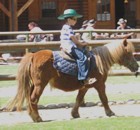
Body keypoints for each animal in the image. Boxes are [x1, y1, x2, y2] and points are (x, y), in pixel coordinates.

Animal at [5, 38, 139, 122]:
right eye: (128, 53)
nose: (136, 66)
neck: (98, 62)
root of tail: (33, 55)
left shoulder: (85, 86)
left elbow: (79, 99)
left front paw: (74, 114)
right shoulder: (100, 84)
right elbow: (104, 98)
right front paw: (110, 112)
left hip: (34, 85)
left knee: (29, 98)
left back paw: (33, 116)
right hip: (40, 85)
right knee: (33, 99)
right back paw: (37, 118)